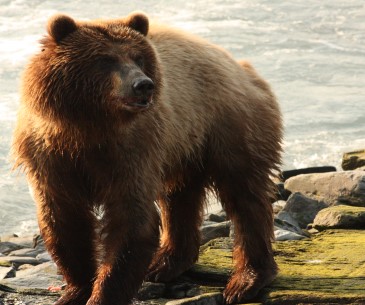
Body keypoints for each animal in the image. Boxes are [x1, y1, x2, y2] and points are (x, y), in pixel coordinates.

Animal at [12, 11, 282, 304]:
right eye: (105, 59)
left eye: (138, 57)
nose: (143, 85)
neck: (88, 128)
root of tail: (242, 66)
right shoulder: (50, 157)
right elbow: (64, 218)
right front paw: (76, 290)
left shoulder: (133, 152)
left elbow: (131, 219)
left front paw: (103, 294)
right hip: (184, 145)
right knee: (180, 197)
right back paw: (165, 263)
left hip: (229, 125)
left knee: (244, 195)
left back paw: (246, 280)